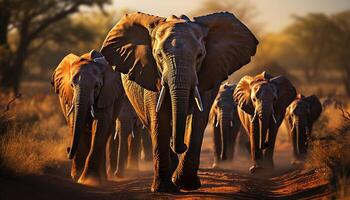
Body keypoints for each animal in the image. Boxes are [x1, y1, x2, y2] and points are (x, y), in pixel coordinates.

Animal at [50, 50, 124, 186]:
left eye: (96, 86)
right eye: (72, 85)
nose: (67, 149)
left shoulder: (106, 93)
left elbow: (100, 123)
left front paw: (89, 180)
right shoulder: (70, 96)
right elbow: (74, 121)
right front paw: (77, 177)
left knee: (105, 133)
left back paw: (103, 178)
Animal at [100, 11, 258, 192]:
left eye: (200, 56)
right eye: (158, 56)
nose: (181, 145)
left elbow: (197, 119)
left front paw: (187, 185)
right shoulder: (151, 74)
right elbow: (159, 118)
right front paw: (164, 189)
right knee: (149, 122)